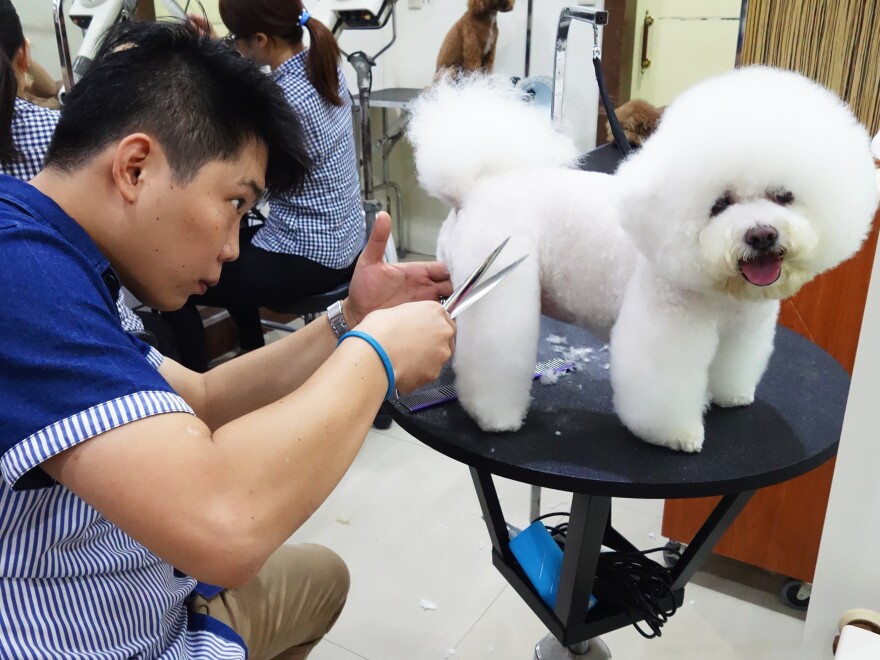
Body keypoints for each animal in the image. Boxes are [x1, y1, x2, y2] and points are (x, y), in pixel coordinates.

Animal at [410, 69, 880, 456]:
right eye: (719, 204)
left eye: (784, 196)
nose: (761, 234)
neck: (722, 290)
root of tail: (473, 188)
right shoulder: (669, 329)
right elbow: (663, 389)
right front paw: (676, 435)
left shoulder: (744, 329)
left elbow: (732, 366)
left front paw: (728, 396)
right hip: (498, 284)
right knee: (492, 354)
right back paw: (496, 417)